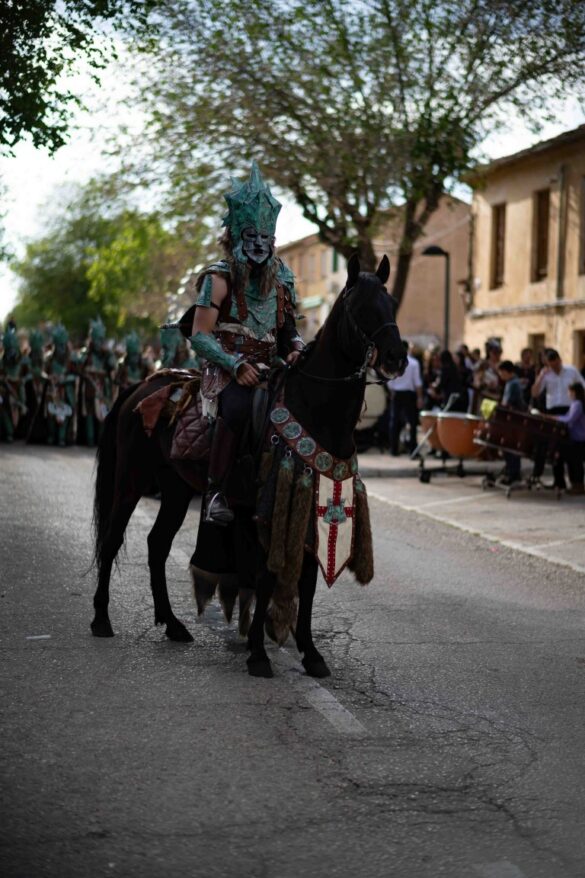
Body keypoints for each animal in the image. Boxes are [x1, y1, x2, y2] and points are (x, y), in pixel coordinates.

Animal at [90, 253, 406, 678]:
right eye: (360, 308)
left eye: (391, 304)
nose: (396, 357)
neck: (314, 407)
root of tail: (139, 387)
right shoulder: (267, 506)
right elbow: (266, 574)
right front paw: (258, 653)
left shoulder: (312, 501)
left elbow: (307, 579)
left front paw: (310, 653)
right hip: (131, 480)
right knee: (111, 540)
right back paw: (101, 619)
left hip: (175, 488)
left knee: (157, 544)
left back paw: (172, 624)